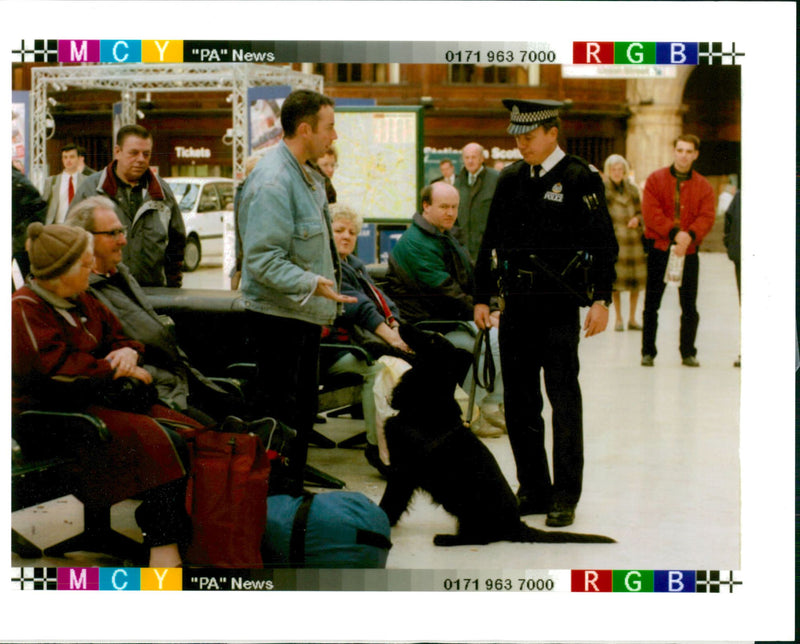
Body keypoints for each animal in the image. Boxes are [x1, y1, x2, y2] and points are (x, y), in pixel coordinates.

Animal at [378, 324, 616, 544]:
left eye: (433, 340)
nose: (400, 325)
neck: (427, 402)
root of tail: (516, 524)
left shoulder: (403, 472)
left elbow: (389, 503)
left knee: (480, 537)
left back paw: (446, 539)